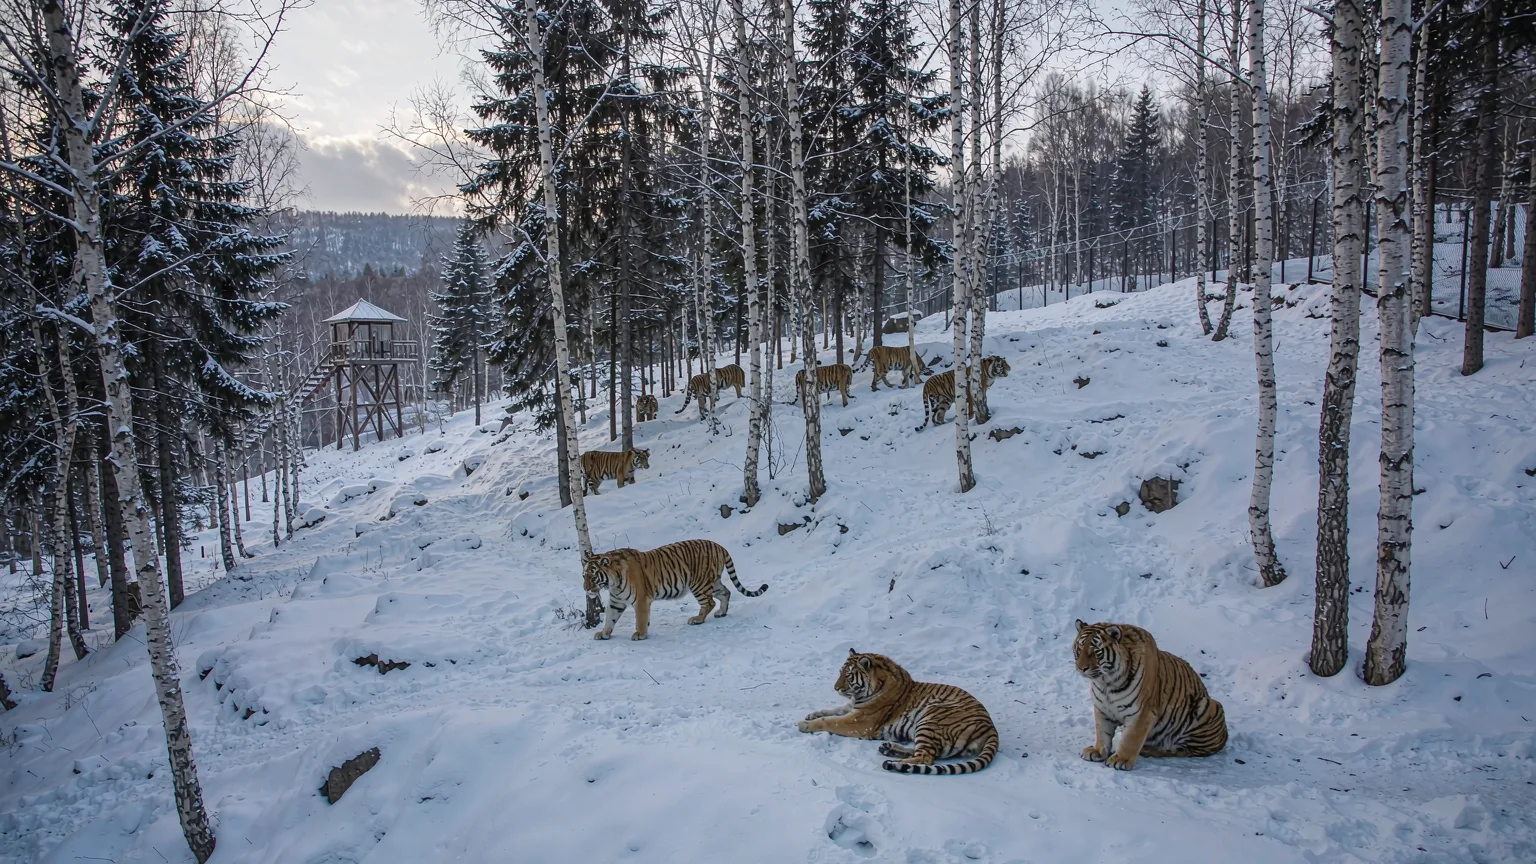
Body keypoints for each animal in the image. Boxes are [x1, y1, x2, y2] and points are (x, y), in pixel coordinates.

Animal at [583, 539, 768, 641]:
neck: (613, 582)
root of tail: (720, 546)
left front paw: (640, 634)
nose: (586, 589)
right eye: (584, 575)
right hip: (713, 582)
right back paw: (721, 613)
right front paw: (604, 633)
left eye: (593, 576)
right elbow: (610, 618)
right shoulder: (616, 601)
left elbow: (640, 619)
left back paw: (697, 619)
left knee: (709, 602)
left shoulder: (641, 600)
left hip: (699, 583)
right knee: (725, 593)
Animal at [798, 650, 999, 775]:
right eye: (839, 672)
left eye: (847, 675)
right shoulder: (853, 708)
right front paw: (811, 714)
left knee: (927, 758)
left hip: (932, 717)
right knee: (928, 753)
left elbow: (831, 720)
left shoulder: (860, 722)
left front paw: (805, 724)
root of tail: (991, 727)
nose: (836, 688)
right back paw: (889, 749)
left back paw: (893, 764)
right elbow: (832, 710)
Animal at [1072, 620, 1228, 770]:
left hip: (1208, 706)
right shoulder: (1102, 708)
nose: (1081, 668)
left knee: (1182, 750)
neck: (1107, 683)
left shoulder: (1142, 713)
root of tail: (1225, 737)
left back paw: (1147, 750)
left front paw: (1120, 760)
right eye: (1080, 648)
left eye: (1096, 651)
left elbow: (1130, 738)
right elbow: (1103, 733)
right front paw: (1097, 751)